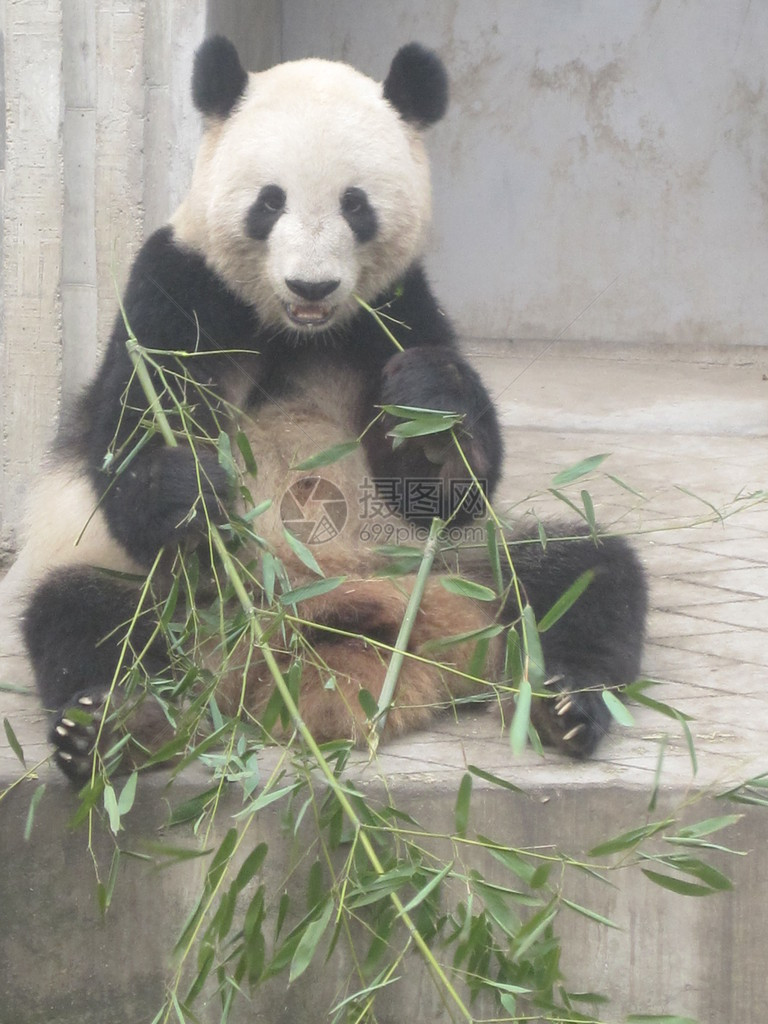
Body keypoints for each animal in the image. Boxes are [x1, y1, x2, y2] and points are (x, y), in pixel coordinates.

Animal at [19, 36, 651, 778]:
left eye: (356, 205)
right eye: (269, 202)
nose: (311, 284)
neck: (295, 327)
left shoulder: (395, 311)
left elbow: (448, 489)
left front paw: (430, 421)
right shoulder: (177, 290)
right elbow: (130, 443)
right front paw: (189, 487)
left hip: (453, 564)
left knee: (583, 574)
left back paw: (566, 704)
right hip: (163, 589)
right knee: (83, 616)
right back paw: (113, 726)